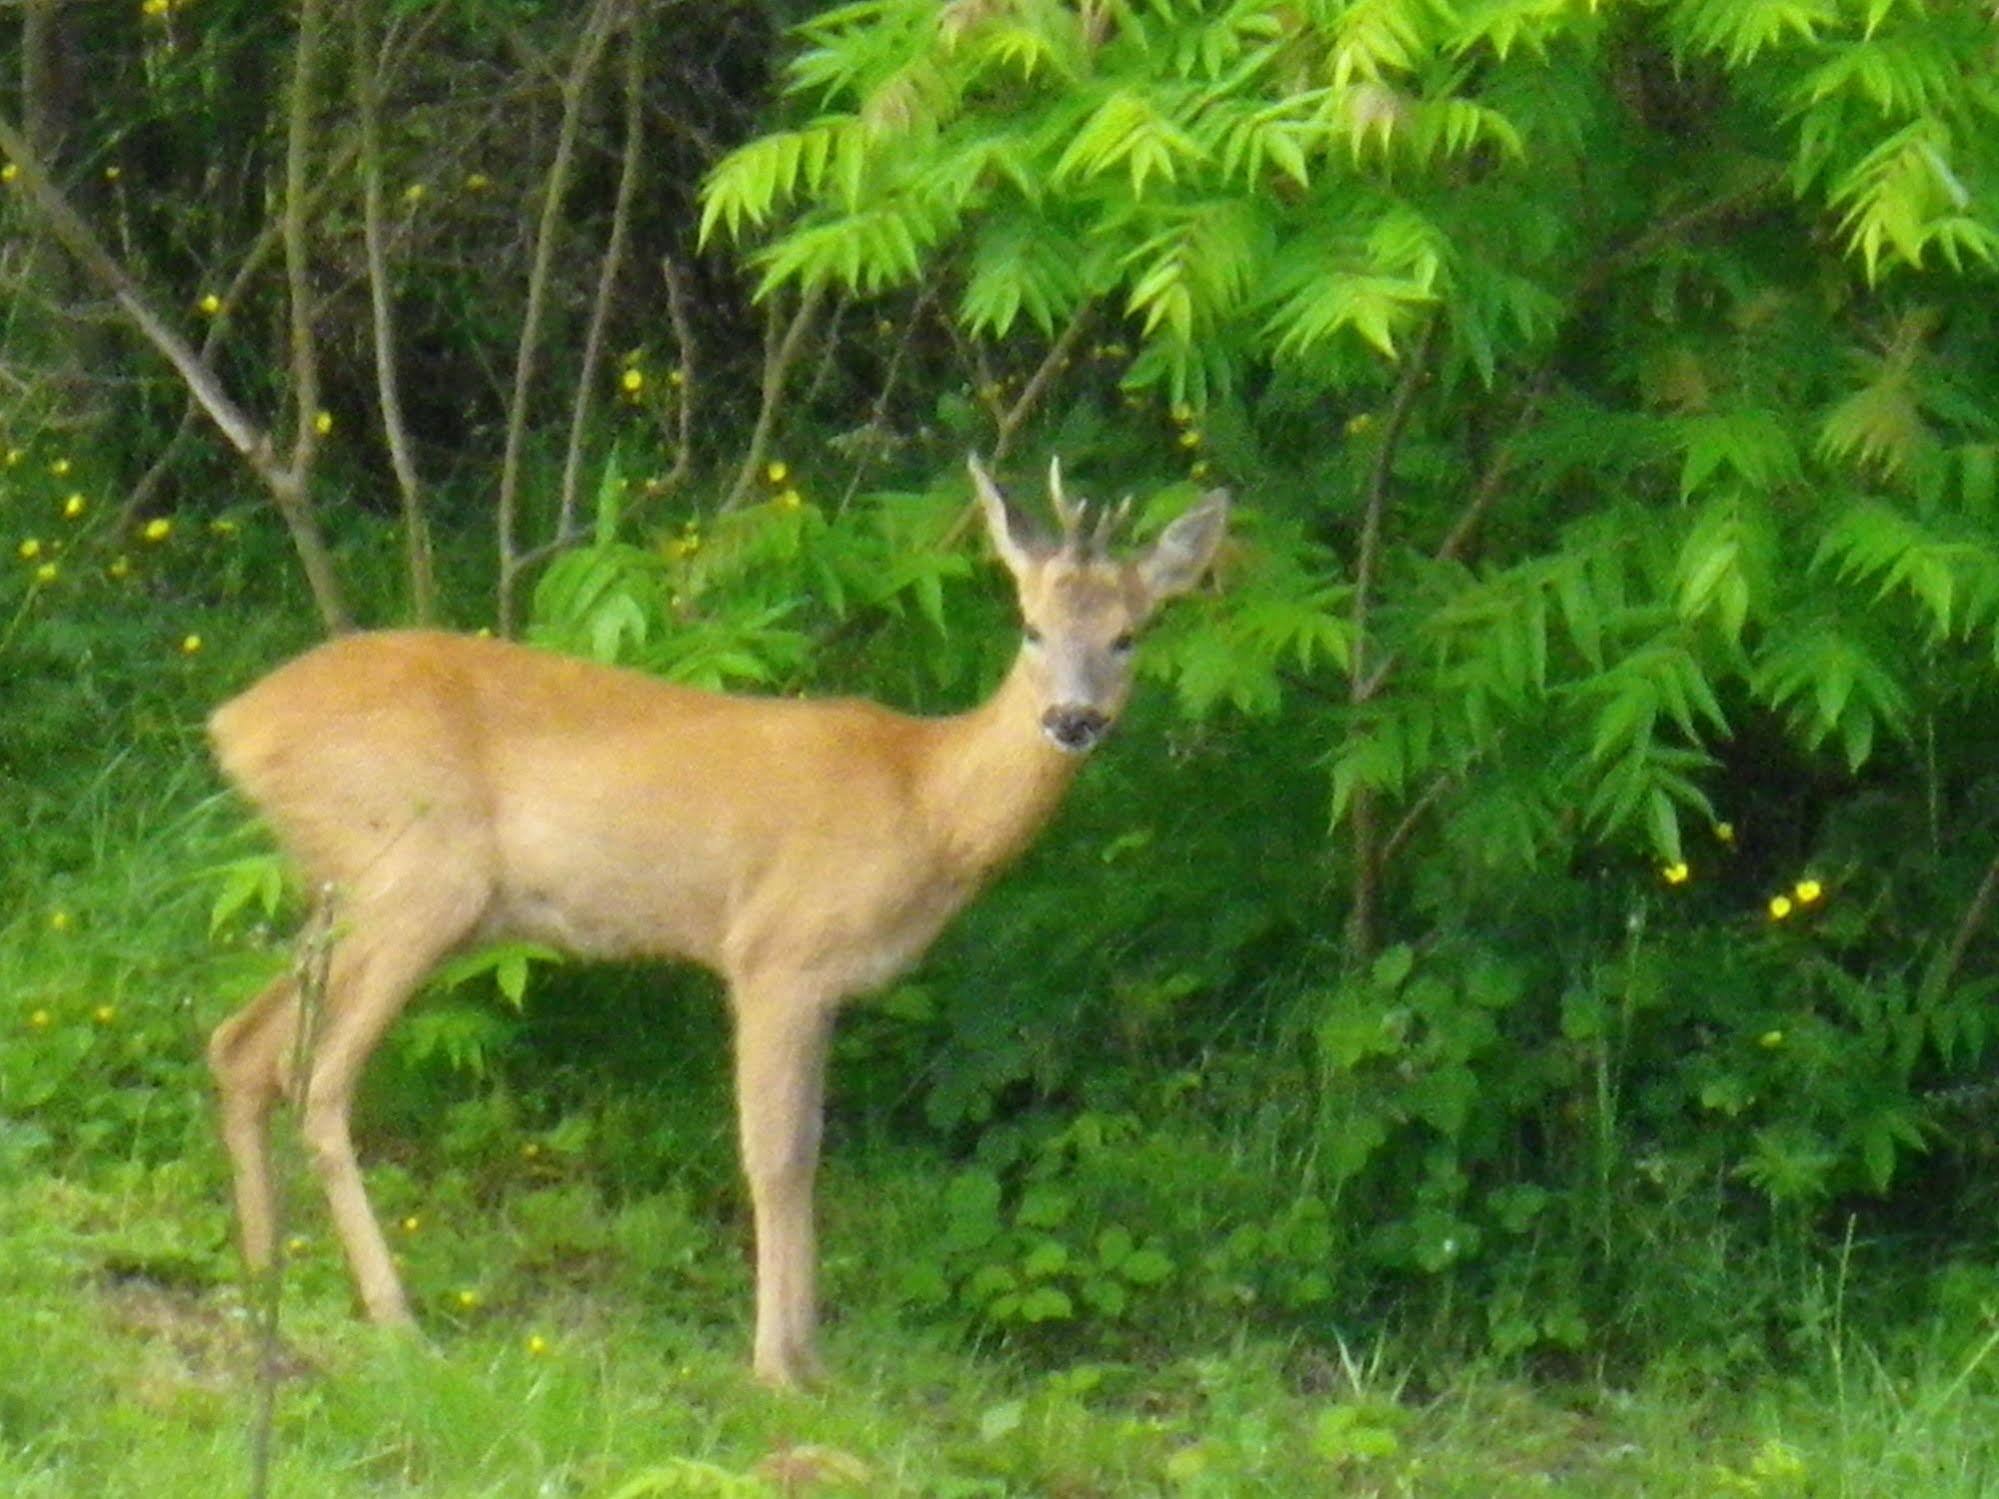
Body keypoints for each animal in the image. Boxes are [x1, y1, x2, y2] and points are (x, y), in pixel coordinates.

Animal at [206, 451, 1231, 1391]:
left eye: (1130, 634)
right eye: (1030, 625)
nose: (1072, 719)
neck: (927, 801)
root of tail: (236, 723)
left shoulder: (828, 984)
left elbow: (809, 1152)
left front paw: (813, 1358)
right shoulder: (775, 951)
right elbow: (773, 1155)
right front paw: (777, 1367)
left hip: (360, 890)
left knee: (241, 1041)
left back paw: (263, 1281)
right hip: (416, 875)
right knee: (317, 1076)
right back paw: (394, 1315)